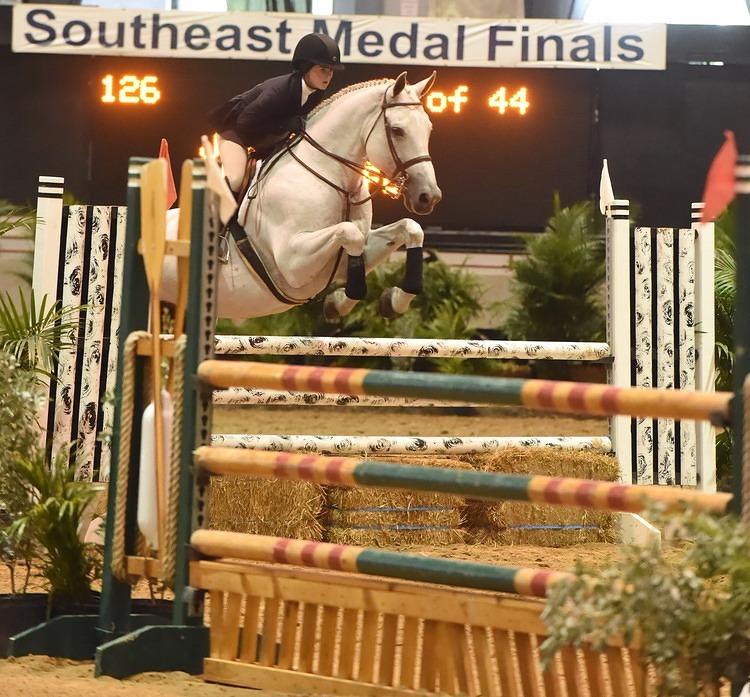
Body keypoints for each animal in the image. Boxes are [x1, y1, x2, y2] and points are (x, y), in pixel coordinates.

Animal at [159, 70, 440, 320]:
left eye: (429, 129)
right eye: (397, 130)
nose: (429, 196)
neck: (331, 175)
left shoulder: (344, 261)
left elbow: (411, 228)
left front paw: (390, 301)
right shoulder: (292, 262)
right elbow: (350, 233)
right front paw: (340, 303)